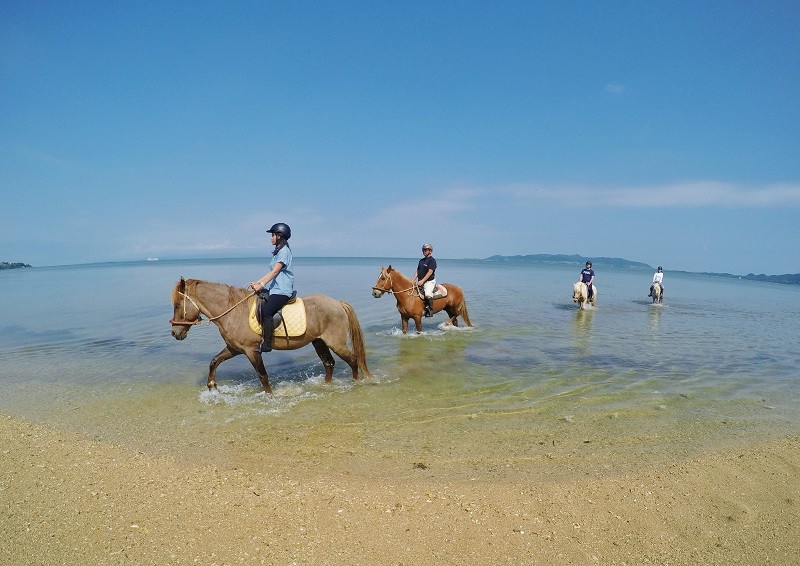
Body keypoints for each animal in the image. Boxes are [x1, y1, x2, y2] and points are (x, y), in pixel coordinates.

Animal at [170, 278, 370, 394]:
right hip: (319, 342)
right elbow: (214, 361)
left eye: (177, 305)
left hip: (335, 343)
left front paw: (270, 396)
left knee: (353, 360)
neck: (233, 311)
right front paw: (212, 385)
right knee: (329, 364)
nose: (174, 332)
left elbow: (263, 376)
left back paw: (356, 383)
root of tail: (337, 303)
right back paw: (326, 385)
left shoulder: (251, 351)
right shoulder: (235, 349)